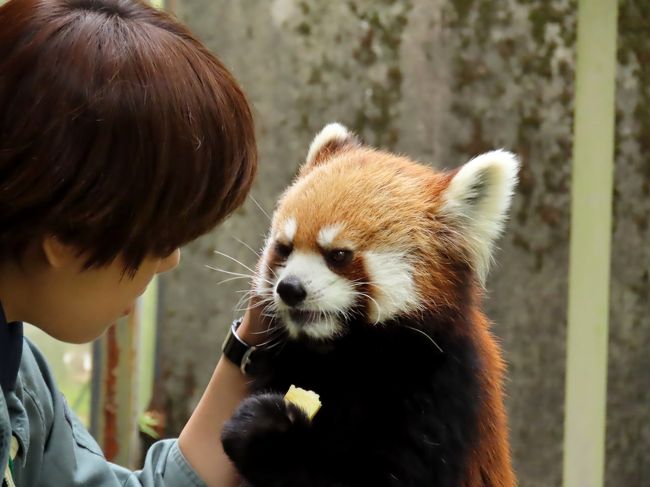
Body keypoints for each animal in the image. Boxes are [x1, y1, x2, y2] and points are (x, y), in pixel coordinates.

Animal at [223, 123, 516, 487]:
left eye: (338, 255)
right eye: (284, 248)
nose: (289, 289)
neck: (347, 356)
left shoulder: (443, 391)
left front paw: (266, 431)